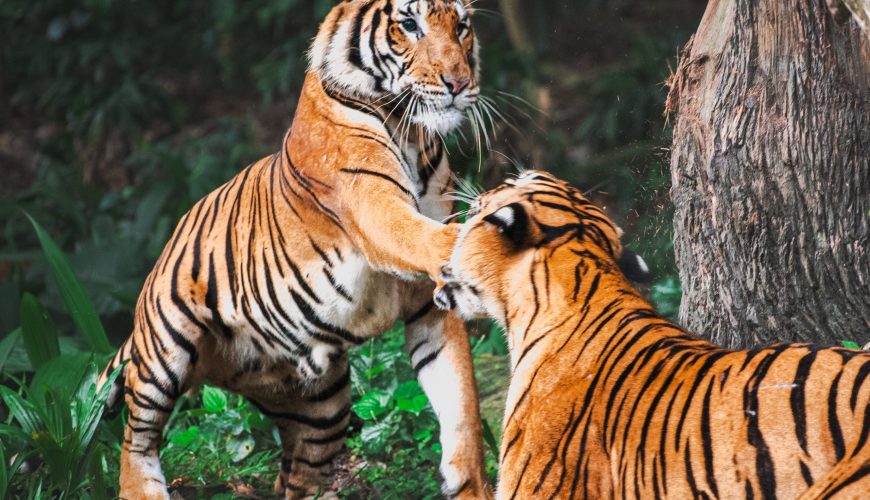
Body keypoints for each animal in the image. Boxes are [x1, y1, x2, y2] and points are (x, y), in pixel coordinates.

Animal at [97, 1, 493, 498]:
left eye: (462, 26)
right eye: (408, 25)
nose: (458, 84)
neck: (412, 134)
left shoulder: (429, 307)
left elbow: (460, 398)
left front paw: (469, 480)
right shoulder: (372, 205)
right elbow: (419, 235)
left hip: (320, 408)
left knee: (295, 477)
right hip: (166, 345)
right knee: (136, 438)